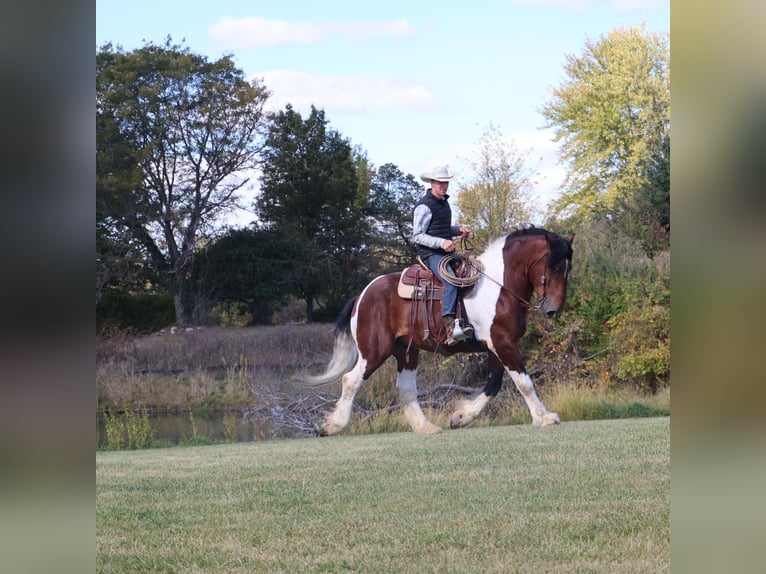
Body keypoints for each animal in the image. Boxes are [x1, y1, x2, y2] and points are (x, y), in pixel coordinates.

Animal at [304, 227, 574, 435]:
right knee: (351, 380)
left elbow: (494, 384)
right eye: (553, 266)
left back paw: (425, 427)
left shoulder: (497, 345)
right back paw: (332, 426)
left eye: (567, 268)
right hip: (374, 350)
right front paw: (544, 417)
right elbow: (523, 382)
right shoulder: (502, 342)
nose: (554, 309)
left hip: (406, 352)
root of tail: (362, 295)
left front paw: (461, 417)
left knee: (406, 388)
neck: (499, 286)